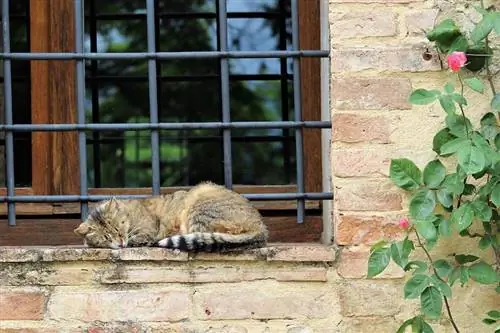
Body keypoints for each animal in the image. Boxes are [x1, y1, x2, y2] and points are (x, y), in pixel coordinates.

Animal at [72, 182, 268, 252]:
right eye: (106, 238)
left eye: (119, 230)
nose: (120, 243)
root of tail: (261, 227)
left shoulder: (148, 230)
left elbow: (140, 238)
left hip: (199, 203)